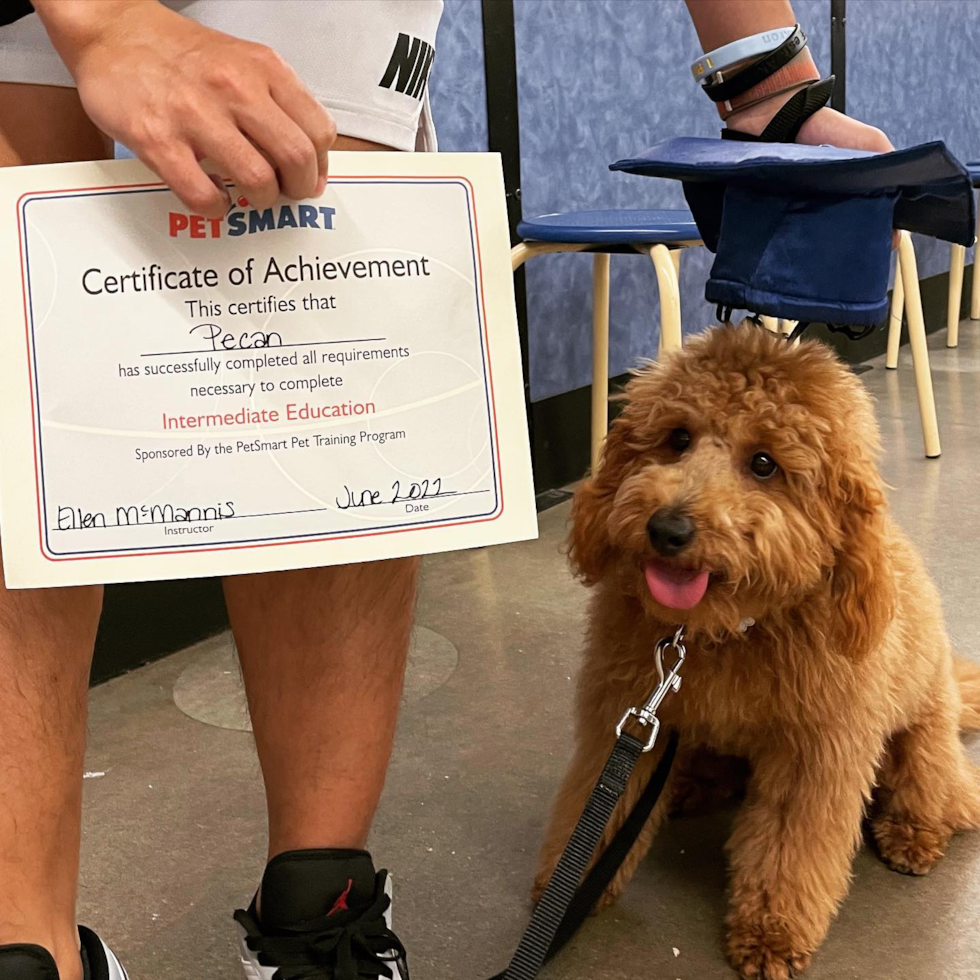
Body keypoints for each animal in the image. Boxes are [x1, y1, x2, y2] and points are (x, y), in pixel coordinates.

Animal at [532, 326, 980, 976]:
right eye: (678, 438)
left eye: (764, 463)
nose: (667, 528)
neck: (727, 630)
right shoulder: (625, 712)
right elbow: (595, 800)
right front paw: (571, 890)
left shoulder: (813, 751)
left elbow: (788, 849)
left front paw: (771, 930)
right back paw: (689, 784)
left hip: (922, 735)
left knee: (947, 791)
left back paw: (914, 833)